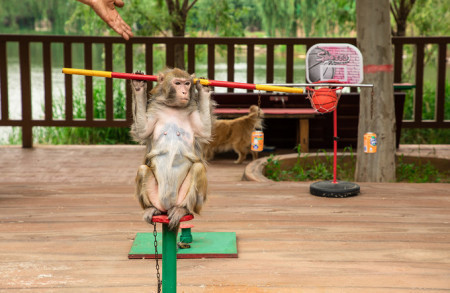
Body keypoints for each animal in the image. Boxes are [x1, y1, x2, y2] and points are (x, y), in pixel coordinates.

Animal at [130, 67, 214, 229]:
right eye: (178, 83)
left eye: (187, 83)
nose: (184, 92)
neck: (174, 108)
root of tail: (167, 207)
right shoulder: (155, 110)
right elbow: (143, 130)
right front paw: (138, 86)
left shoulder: (192, 112)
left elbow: (204, 130)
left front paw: (204, 89)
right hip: (157, 198)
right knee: (143, 169)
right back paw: (152, 208)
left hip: (185, 200)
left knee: (197, 168)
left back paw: (183, 209)